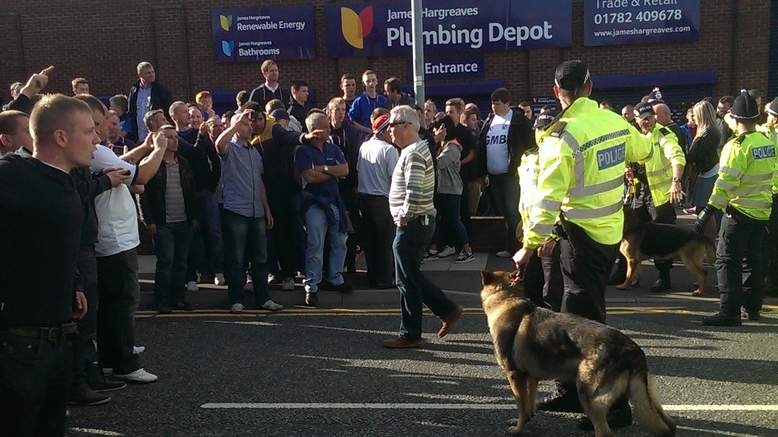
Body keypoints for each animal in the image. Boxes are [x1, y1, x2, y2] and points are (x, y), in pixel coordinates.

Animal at [478, 270, 672, 436]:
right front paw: (526, 419)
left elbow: (521, 405)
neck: (507, 297)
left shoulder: (514, 376)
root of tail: (633, 349)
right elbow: (528, 406)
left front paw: (518, 429)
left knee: (604, 431)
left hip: (588, 396)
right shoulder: (531, 378)